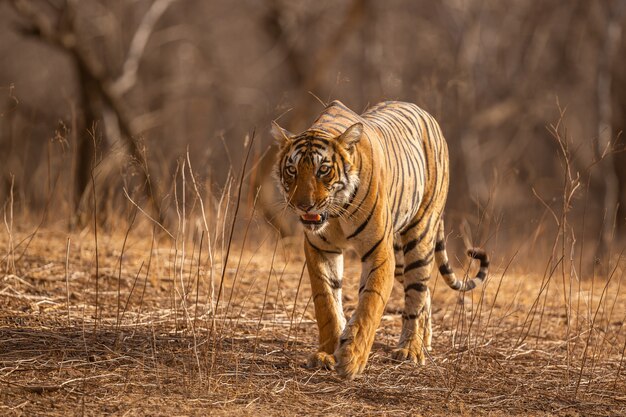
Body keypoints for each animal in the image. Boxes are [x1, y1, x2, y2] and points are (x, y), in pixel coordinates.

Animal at [272, 99, 488, 378]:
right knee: (424, 292)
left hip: (420, 235)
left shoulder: (378, 252)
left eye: (323, 170)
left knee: (417, 293)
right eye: (292, 170)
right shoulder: (320, 248)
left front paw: (352, 359)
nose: (303, 206)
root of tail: (425, 113)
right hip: (399, 255)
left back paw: (411, 349)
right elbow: (326, 302)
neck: (336, 213)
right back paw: (425, 341)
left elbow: (370, 304)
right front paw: (326, 354)